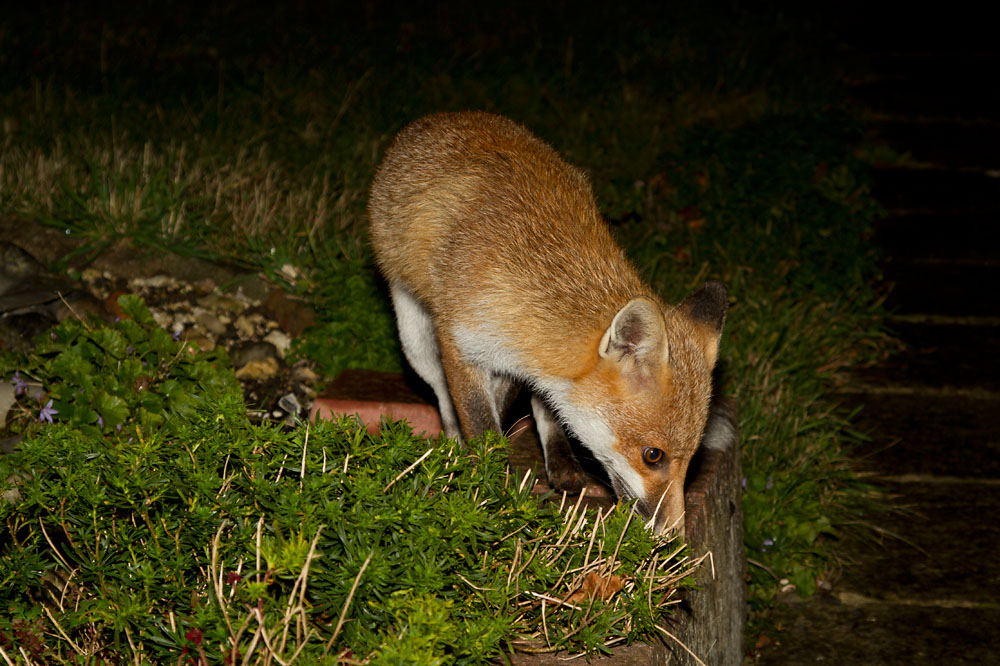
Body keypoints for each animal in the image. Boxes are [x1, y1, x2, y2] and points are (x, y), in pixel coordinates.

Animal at [369, 111, 731, 535]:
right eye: (653, 455)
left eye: (692, 458)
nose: (673, 537)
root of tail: (446, 116)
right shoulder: (461, 346)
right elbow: (482, 426)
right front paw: (487, 485)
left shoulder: (520, 363)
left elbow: (527, 405)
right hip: (414, 335)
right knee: (441, 394)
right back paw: (454, 445)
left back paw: (560, 461)